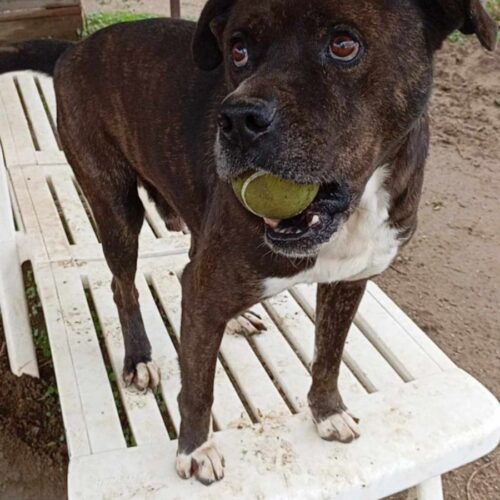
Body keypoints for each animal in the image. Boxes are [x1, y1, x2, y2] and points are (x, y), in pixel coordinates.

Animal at [1, 0, 496, 486]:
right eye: (237, 50)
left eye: (344, 44)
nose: (236, 119)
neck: (352, 210)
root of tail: (74, 49)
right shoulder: (207, 286)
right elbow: (198, 386)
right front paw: (194, 449)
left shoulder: (349, 282)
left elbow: (329, 354)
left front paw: (327, 412)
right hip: (116, 207)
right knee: (123, 286)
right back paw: (138, 357)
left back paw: (235, 319)